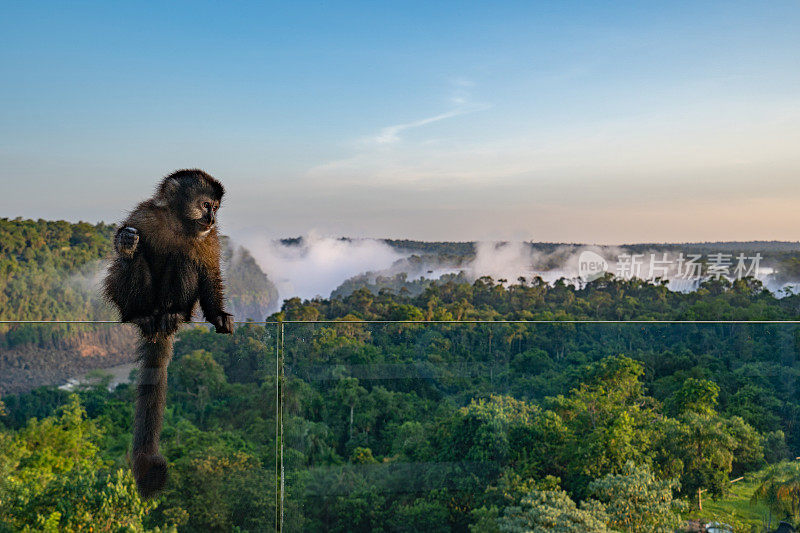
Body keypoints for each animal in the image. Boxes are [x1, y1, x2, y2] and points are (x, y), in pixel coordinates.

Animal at [104, 168, 234, 496]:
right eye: (206, 205)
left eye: (216, 208)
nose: (211, 218)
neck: (179, 223)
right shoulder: (144, 215)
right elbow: (124, 253)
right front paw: (126, 242)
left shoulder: (209, 237)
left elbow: (208, 270)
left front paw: (217, 314)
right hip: (142, 304)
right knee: (135, 262)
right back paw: (142, 314)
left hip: (180, 304)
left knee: (185, 259)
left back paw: (173, 313)